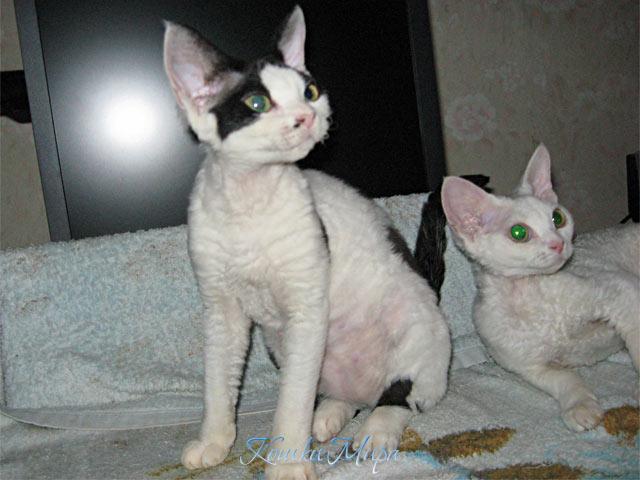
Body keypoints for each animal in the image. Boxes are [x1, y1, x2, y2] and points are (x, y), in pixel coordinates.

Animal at [163, 6, 450, 479]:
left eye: (310, 91)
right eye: (257, 104)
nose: (307, 116)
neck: (249, 206)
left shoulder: (306, 307)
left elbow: (292, 399)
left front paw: (288, 465)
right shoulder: (222, 310)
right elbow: (218, 383)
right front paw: (214, 442)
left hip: (415, 329)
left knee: (401, 395)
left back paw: (375, 434)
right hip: (280, 344)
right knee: (346, 394)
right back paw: (329, 415)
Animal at [438, 143, 639, 432]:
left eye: (558, 218)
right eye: (519, 233)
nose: (558, 243)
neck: (531, 296)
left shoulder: (622, 292)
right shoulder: (527, 365)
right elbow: (564, 379)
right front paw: (579, 404)